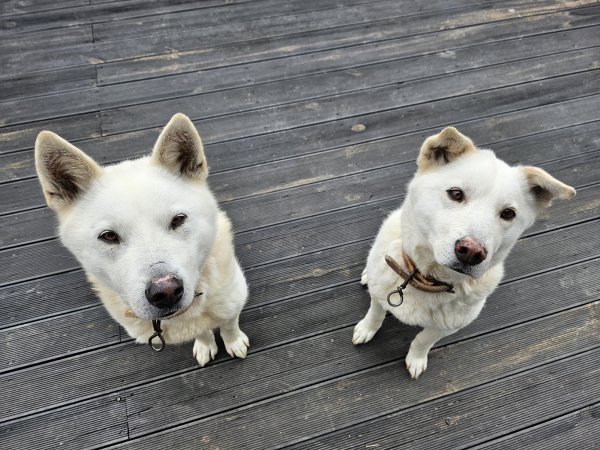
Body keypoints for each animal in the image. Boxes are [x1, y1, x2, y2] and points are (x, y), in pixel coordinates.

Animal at [34, 112, 250, 366]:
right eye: (109, 236)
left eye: (178, 220)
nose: (166, 292)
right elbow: (203, 331)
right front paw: (205, 344)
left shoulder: (233, 301)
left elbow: (229, 325)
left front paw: (234, 342)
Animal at [354, 127, 576, 380]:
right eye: (456, 194)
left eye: (508, 213)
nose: (471, 252)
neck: (426, 280)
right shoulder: (379, 295)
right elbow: (375, 313)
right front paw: (366, 329)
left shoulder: (448, 326)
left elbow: (423, 340)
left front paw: (416, 359)